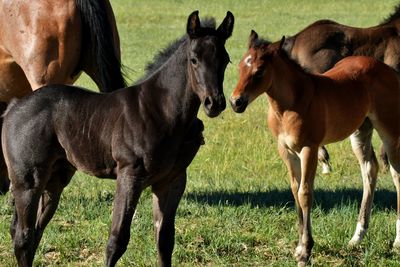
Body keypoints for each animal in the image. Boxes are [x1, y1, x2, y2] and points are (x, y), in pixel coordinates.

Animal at [230, 30, 400, 266]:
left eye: (259, 71)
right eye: (239, 66)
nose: (236, 102)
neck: (290, 105)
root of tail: (388, 70)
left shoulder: (309, 148)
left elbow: (305, 193)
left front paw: (305, 251)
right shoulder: (285, 150)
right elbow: (295, 189)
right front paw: (299, 246)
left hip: (390, 132)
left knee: (396, 174)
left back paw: (397, 241)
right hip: (360, 131)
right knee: (369, 170)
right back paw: (357, 237)